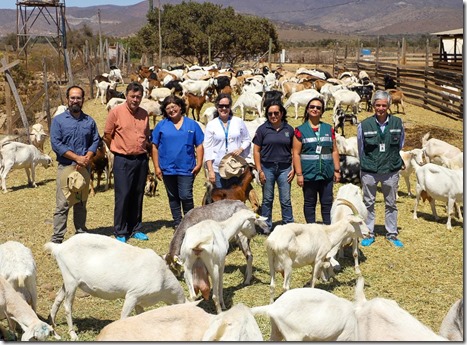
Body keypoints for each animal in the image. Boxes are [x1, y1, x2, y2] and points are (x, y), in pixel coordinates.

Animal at [44, 231, 186, 338]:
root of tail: (59, 248)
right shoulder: (133, 295)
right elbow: (124, 317)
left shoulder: (140, 300)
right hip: (71, 280)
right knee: (67, 306)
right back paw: (73, 335)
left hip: (67, 280)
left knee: (58, 298)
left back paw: (53, 326)